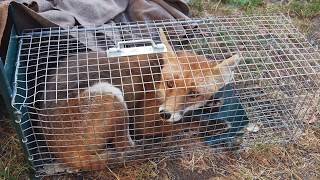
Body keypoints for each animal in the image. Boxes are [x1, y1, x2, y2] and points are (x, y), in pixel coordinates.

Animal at [41, 28, 239, 172]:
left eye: (193, 93)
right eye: (169, 84)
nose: (165, 114)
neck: (156, 78)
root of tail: (56, 148)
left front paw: (211, 104)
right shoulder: (143, 120)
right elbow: (186, 121)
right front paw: (211, 124)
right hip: (110, 92)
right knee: (124, 148)